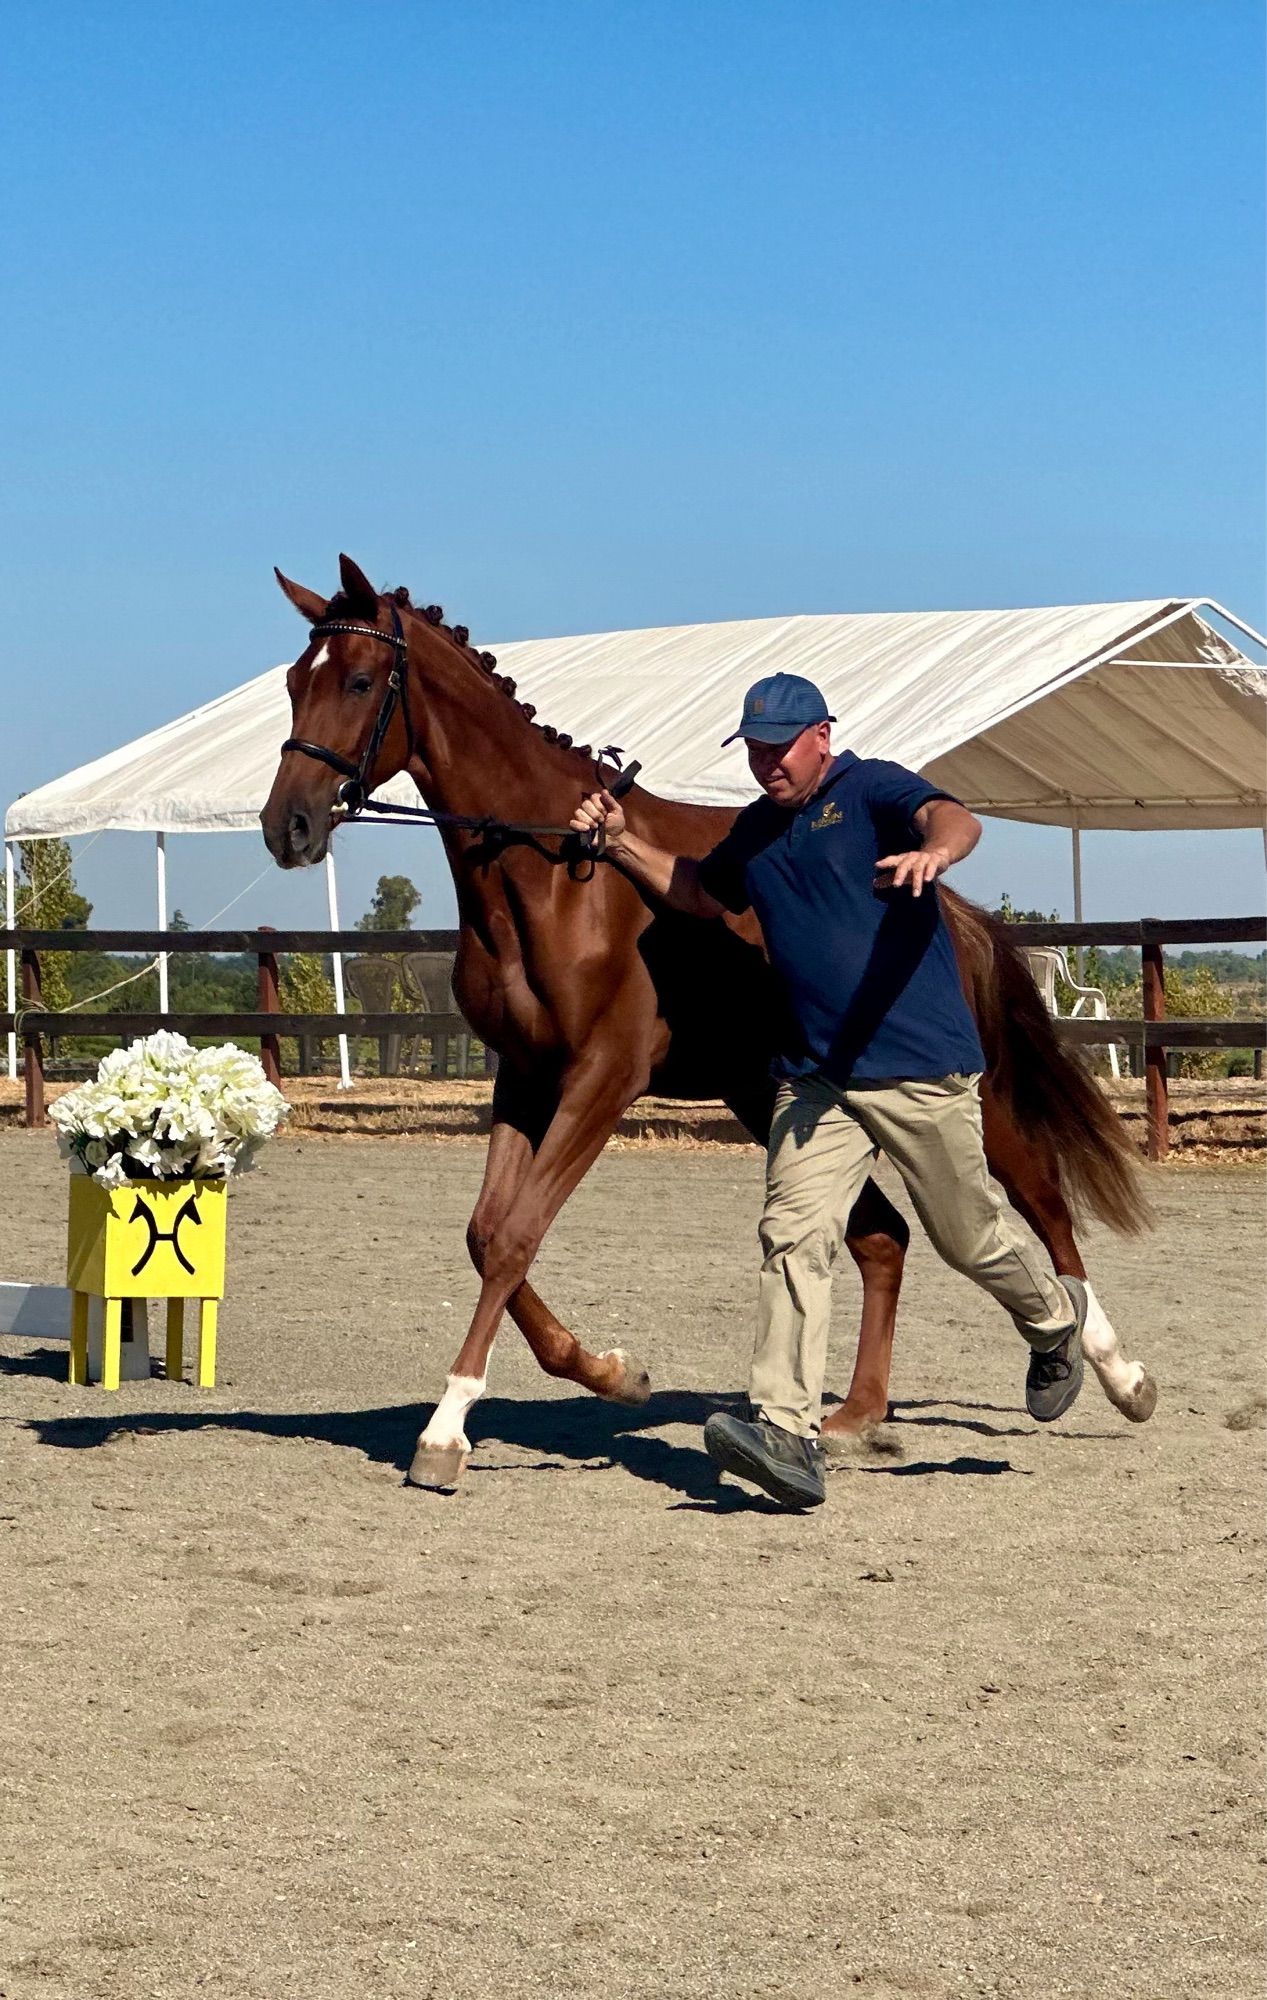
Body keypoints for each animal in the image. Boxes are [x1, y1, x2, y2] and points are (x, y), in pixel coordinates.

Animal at [261, 556, 1151, 1496]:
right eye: (293, 683)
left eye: (360, 681)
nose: (287, 825)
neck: (555, 875)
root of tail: (956, 910)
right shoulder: (525, 1076)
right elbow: (486, 1234)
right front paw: (613, 1372)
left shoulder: (601, 1078)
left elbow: (512, 1236)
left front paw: (447, 1429)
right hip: (772, 1098)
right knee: (884, 1237)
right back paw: (853, 1417)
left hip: (969, 1106)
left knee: (1040, 1210)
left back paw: (1109, 1370)